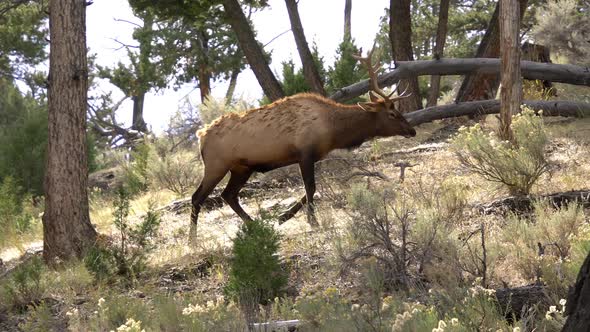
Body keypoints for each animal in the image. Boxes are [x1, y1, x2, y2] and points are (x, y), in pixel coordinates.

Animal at [191, 47, 416, 228]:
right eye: (392, 113)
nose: (412, 130)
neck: (333, 130)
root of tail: (201, 136)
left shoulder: (313, 156)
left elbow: (309, 190)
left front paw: (283, 217)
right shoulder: (305, 153)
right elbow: (311, 187)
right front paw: (312, 220)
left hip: (242, 168)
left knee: (228, 195)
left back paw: (253, 224)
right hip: (216, 165)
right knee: (197, 197)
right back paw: (193, 240)